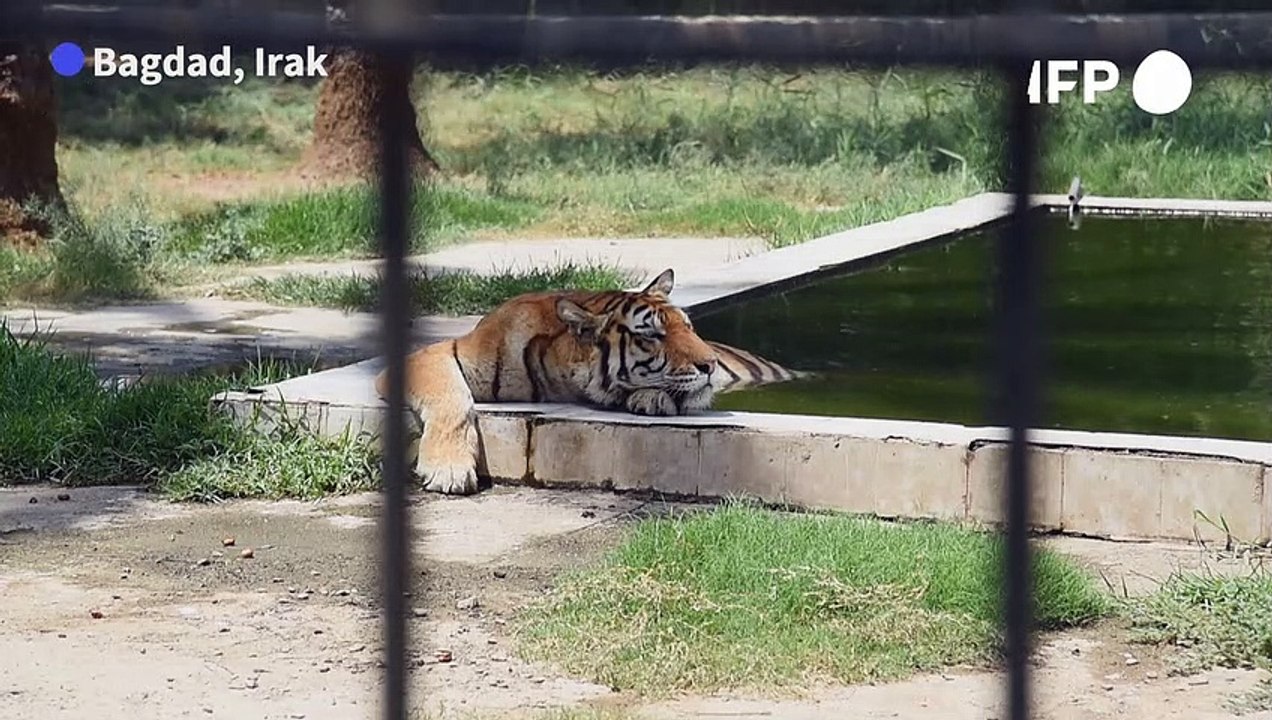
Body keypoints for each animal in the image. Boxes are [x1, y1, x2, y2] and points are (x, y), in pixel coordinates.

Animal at [374, 267, 807, 495]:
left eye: (689, 327)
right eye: (653, 335)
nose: (711, 365)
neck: (555, 379)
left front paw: (651, 399)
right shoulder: (430, 356)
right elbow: (451, 398)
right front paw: (448, 469)